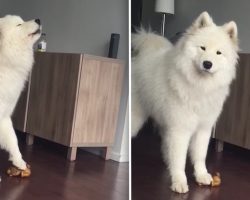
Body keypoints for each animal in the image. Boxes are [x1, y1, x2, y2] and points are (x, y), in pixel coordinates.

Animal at [0, 14, 41, 170]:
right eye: (19, 25)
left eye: (21, 21)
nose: (39, 19)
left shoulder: (4, 114)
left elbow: (13, 139)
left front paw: (19, 161)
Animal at [132, 11, 239, 193]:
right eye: (202, 48)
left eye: (218, 53)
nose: (207, 64)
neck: (200, 86)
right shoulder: (180, 129)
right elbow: (180, 159)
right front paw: (179, 181)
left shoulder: (203, 128)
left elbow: (200, 155)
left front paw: (201, 175)